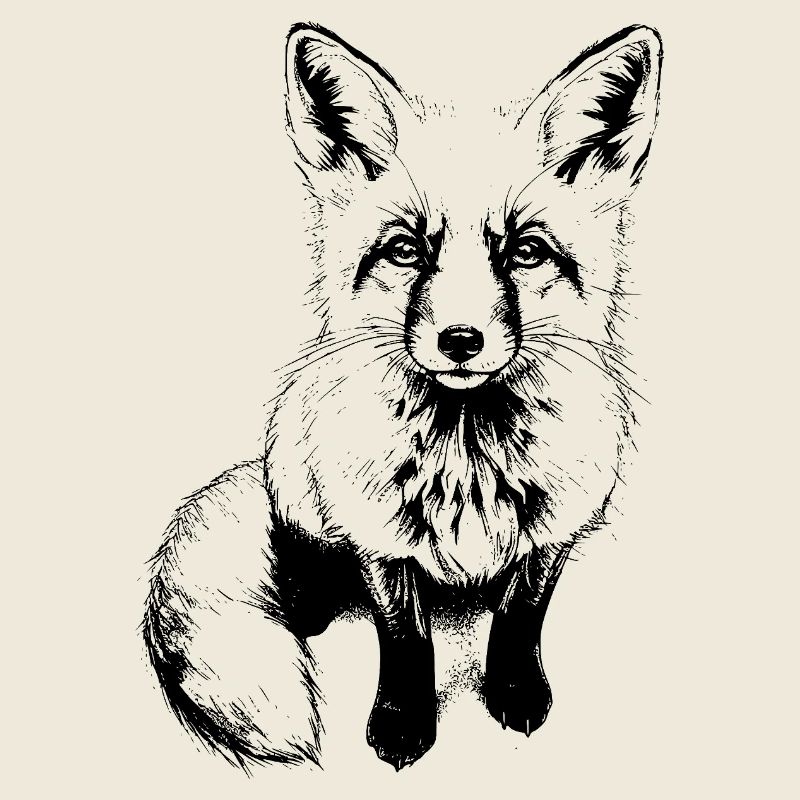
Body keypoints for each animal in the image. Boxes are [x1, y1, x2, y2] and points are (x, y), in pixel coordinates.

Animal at [143, 22, 662, 771]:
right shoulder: (381, 537)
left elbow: (519, 614)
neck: (468, 462)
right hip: (298, 477)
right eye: (406, 250)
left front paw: (514, 692)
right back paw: (305, 597)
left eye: (526, 252)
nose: (461, 340)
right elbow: (405, 638)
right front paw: (402, 723)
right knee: (296, 544)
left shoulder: (554, 529)